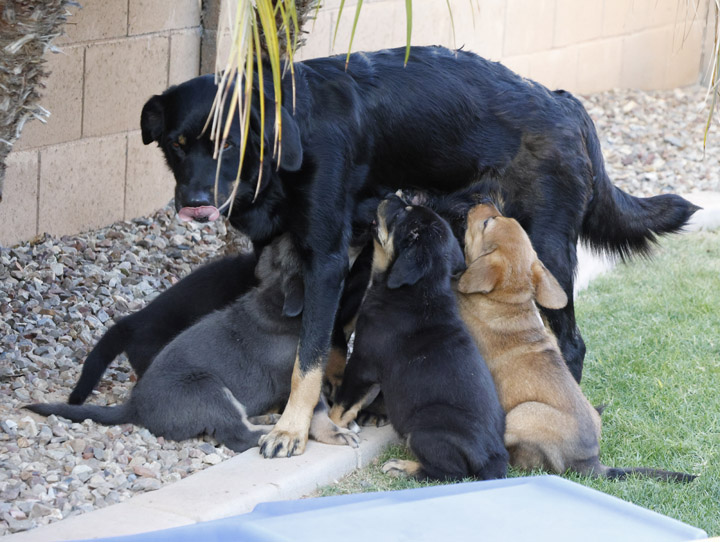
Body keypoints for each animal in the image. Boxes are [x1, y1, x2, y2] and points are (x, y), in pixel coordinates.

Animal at [28, 238, 360, 454]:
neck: (277, 300)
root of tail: (133, 408)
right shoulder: (296, 373)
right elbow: (316, 408)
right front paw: (330, 434)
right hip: (207, 388)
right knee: (236, 435)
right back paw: (267, 431)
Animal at [330, 197, 510, 484]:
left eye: (402, 212)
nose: (392, 195)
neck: (418, 289)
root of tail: (494, 457)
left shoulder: (362, 363)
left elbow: (343, 404)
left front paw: (332, 426)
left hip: (424, 429)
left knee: (448, 473)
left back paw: (402, 467)